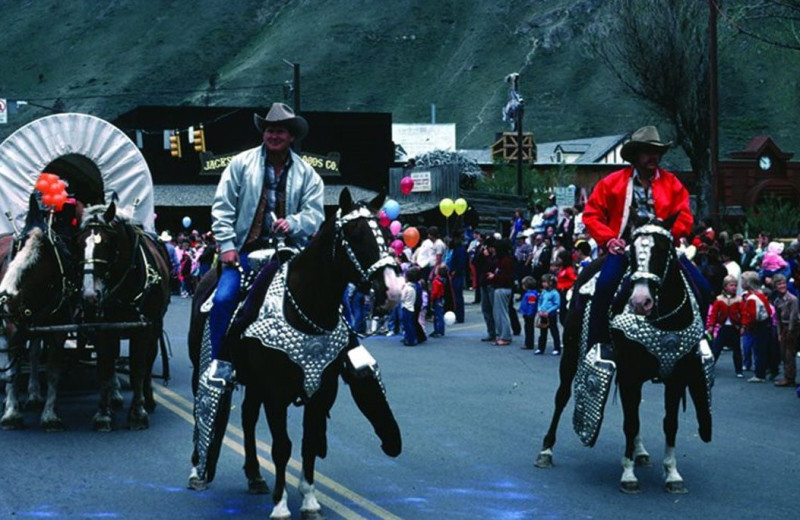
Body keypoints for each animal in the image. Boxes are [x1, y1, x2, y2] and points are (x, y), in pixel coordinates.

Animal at [0, 195, 77, 430]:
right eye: (17, 249)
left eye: (39, 258)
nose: (5, 296)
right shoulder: (12, 327)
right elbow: (13, 371)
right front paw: (11, 412)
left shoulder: (58, 328)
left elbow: (52, 371)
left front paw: (50, 415)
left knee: (34, 352)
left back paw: (34, 394)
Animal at [76, 201, 171, 432]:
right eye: (80, 242)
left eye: (107, 243)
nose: (90, 295)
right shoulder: (104, 328)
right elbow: (105, 366)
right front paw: (103, 413)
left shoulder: (142, 328)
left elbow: (137, 367)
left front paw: (137, 413)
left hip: (155, 326)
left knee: (148, 360)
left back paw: (148, 399)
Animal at [186, 189, 400, 516]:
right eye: (355, 234)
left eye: (387, 234)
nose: (392, 290)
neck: (306, 306)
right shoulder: (275, 393)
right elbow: (282, 447)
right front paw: (281, 505)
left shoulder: (322, 391)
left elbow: (308, 443)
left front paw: (309, 499)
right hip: (204, 367)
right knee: (202, 405)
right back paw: (197, 469)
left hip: (255, 385)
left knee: (248, 418)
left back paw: (254, 474)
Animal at [536, 217, 716, 494]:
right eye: (631, 252)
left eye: (664, 250)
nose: (641, 301)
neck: (664, 320)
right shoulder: (631, 373)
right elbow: (630, 422)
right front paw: (628, 474)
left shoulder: (675, 377)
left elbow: (669, 423)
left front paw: (672, 473)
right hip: (570, 356)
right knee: (562, 396)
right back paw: (546, 451)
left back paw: (640, 451)